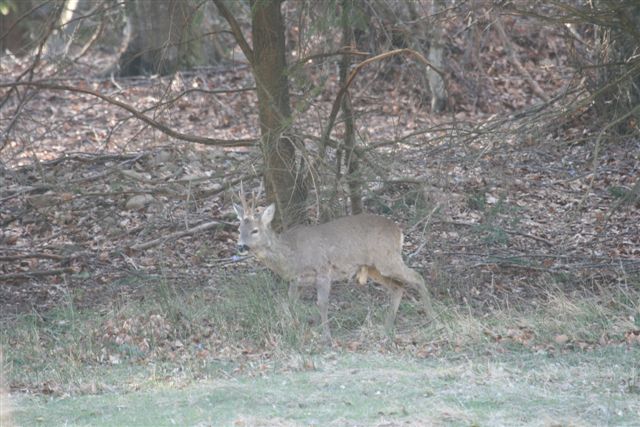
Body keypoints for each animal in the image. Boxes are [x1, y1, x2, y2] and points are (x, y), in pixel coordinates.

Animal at [232, 186, 432, 342]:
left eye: (255, 230)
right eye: (239, 229)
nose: (240, 246)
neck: (292, 256)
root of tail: (399, 231)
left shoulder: (323, 269)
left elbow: (322, 303)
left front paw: (326, 337)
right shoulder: (297, 281)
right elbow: (290, 304)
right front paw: (294, 330)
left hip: (387, 259)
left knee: (417, 277)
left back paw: (432, 319)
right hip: (375, 268)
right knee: (398, 287)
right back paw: (387, 328)